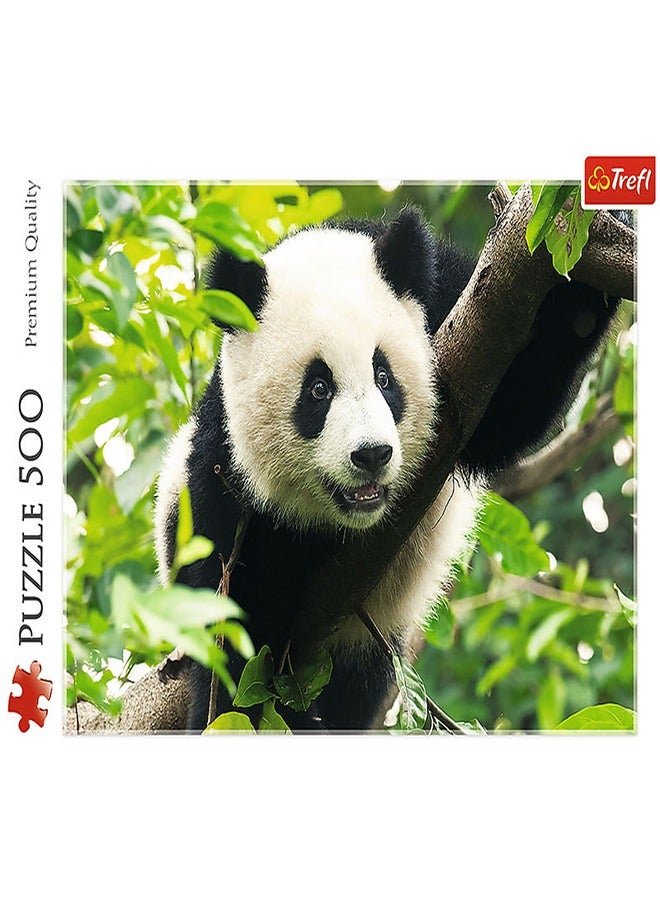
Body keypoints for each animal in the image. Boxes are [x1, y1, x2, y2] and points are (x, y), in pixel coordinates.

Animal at [154, 206, 620, 732]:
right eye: (318, 389)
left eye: (384, 377)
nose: (372, 454)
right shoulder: (224, 475)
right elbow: (237, 626)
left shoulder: (450, 307)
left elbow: (517, 398)